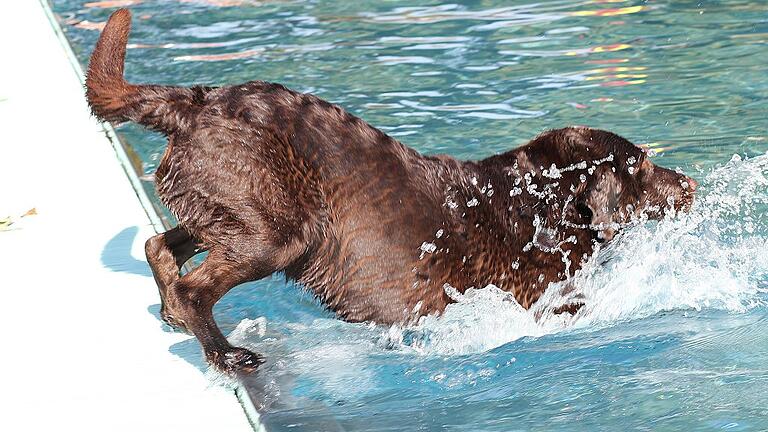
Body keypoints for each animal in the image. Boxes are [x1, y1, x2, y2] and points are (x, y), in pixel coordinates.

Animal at [85, 11, 696, 374]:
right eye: (642, 163)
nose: (689, 182)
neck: (538, 207)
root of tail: (196, 103)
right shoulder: (534, 300)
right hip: (277, 230)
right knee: (195, 285)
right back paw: (226, 353)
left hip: (228, 205)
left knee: (160, 246)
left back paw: (173, 314)